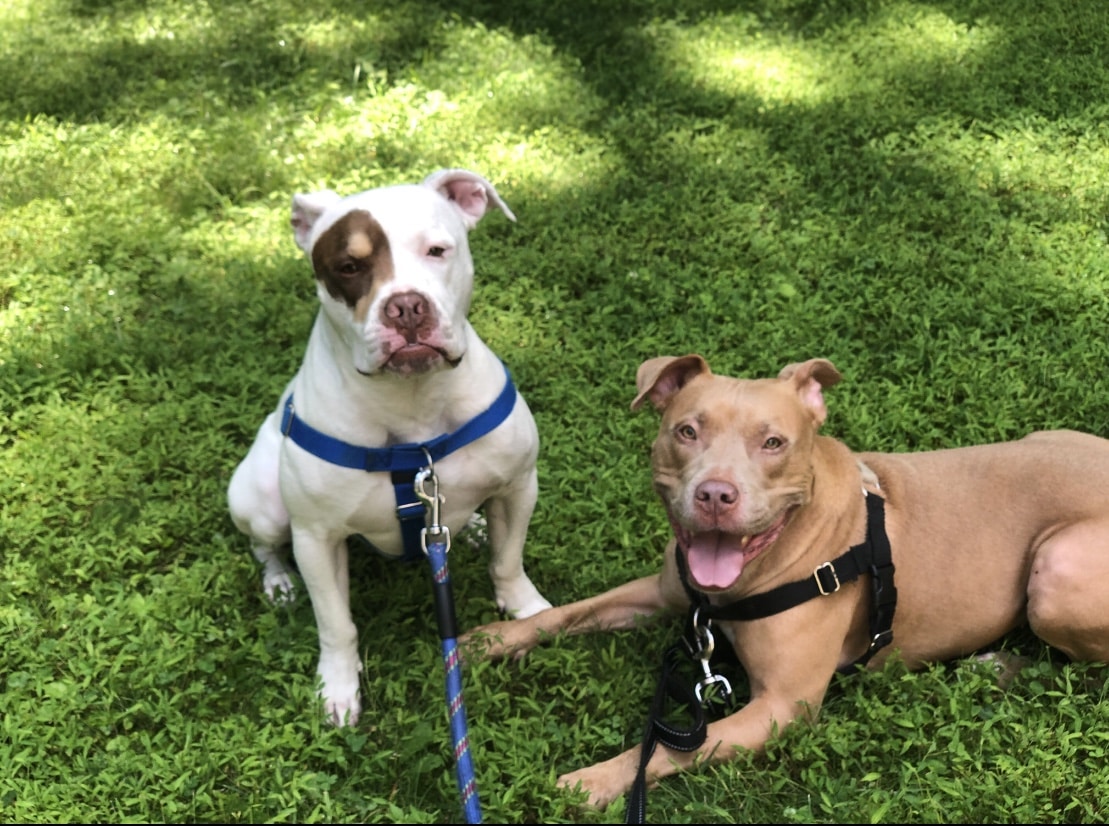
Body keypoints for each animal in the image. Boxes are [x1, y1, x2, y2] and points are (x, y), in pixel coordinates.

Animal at [228, 170, 550, 722]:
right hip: (261, 505)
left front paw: (527, 611)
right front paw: (338, 686)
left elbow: (508, 561)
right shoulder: (316, 539)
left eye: (437, 250)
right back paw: (280, 582)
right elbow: (336, 623)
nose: (406, 307)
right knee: (265, 546)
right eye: (349, 267)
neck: (413, 408)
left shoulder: (517, 487)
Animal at [463, 352, 1109, 807]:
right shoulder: (667, 591)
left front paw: (593, 780)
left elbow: (670, 750)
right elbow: (567, 612)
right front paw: (489, 641)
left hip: (1056, 569)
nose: (715, 495)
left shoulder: (782, 706)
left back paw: (1000, 667)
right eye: (686, 431)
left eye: (773, 442)